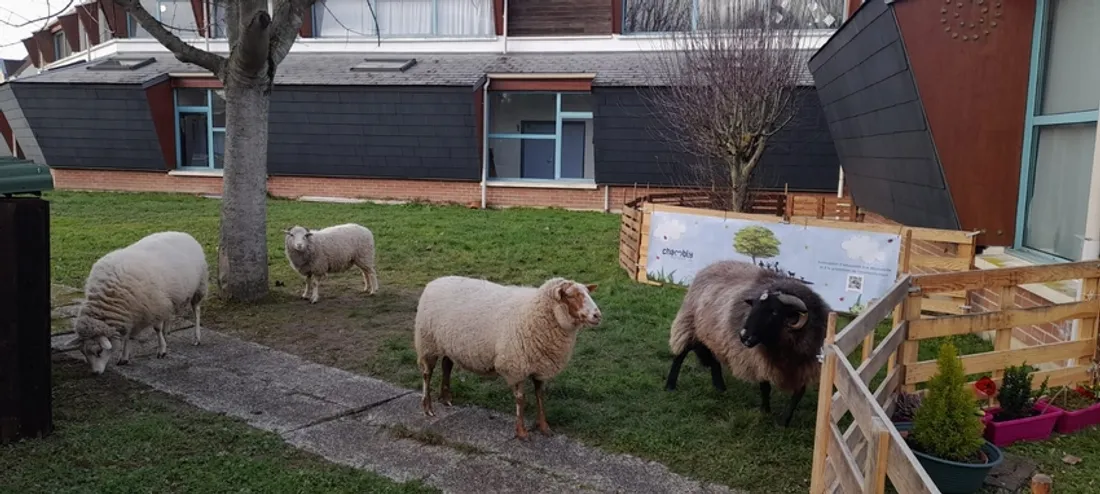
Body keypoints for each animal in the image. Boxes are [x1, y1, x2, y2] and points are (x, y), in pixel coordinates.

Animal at [60, 231, 208, 375]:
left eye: (99, 351)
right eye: (83, 352)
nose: (95, 373)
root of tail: (183, 233)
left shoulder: (154, 306)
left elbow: (156, 329)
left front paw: (161, 350)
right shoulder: (132, 314)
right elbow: (128, 336)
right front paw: (124, 358)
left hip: (199, 287)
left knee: (196, 310)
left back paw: (197, 338)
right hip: (170, 297)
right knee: (169, 314)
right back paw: (167, 333)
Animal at [414, 276, 602, 440]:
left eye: (587, 292)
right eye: (571, 295)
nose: (597, 315)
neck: (534, 313)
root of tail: (434, 282)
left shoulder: (540, 366)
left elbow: (540, 396)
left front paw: (544, 427)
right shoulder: (515, 366)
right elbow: (521, 399)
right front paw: (522, 432)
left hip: (448, 343)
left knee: (446, 365)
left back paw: (446, 398)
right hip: (427, 342)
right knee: (427, 374)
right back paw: (427, 407)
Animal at [664, 260, 829, 427]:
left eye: (774, 312)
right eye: (753, 306)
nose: (743, 336)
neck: (784, 350)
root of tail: (713, 265)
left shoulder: (806, 365)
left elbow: (798, 395)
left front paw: (784, 423)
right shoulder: (757, 361)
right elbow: (765, 387)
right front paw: (765, 411)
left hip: (713, 333)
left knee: (714, 359)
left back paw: (720, 387)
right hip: (689, 324)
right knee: (680, 353)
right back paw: (670, 386)